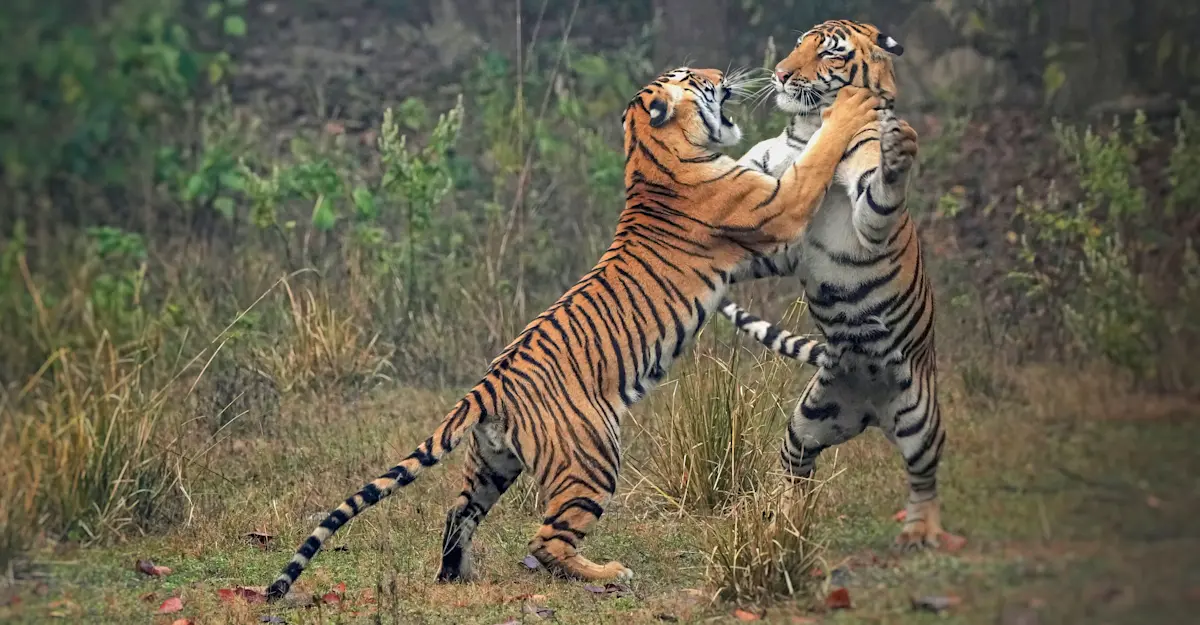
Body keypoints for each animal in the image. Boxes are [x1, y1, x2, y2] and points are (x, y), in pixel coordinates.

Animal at [264, 67, 881, 600]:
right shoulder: (775, 210)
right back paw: (608, 573)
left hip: (491, 463)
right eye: (691, 77)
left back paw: (457, 575)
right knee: (546, 540)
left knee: (457, 512)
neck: (650, 153)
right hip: (592, 457)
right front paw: (848, 112)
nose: (719, 74)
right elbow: (815, 162)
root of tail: (487, 386)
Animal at [718, 19, 962, 550]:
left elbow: (879, 192)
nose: (781, 73)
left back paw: (920, 533)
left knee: (924, 478)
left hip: (921, 416)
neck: (806, 129)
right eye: (797, 45)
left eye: (828, 54)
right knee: (796, 468)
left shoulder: (861, 212)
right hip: (808, 419)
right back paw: (782, 520)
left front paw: (898, 153)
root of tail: (871, 413)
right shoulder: (778, 221)